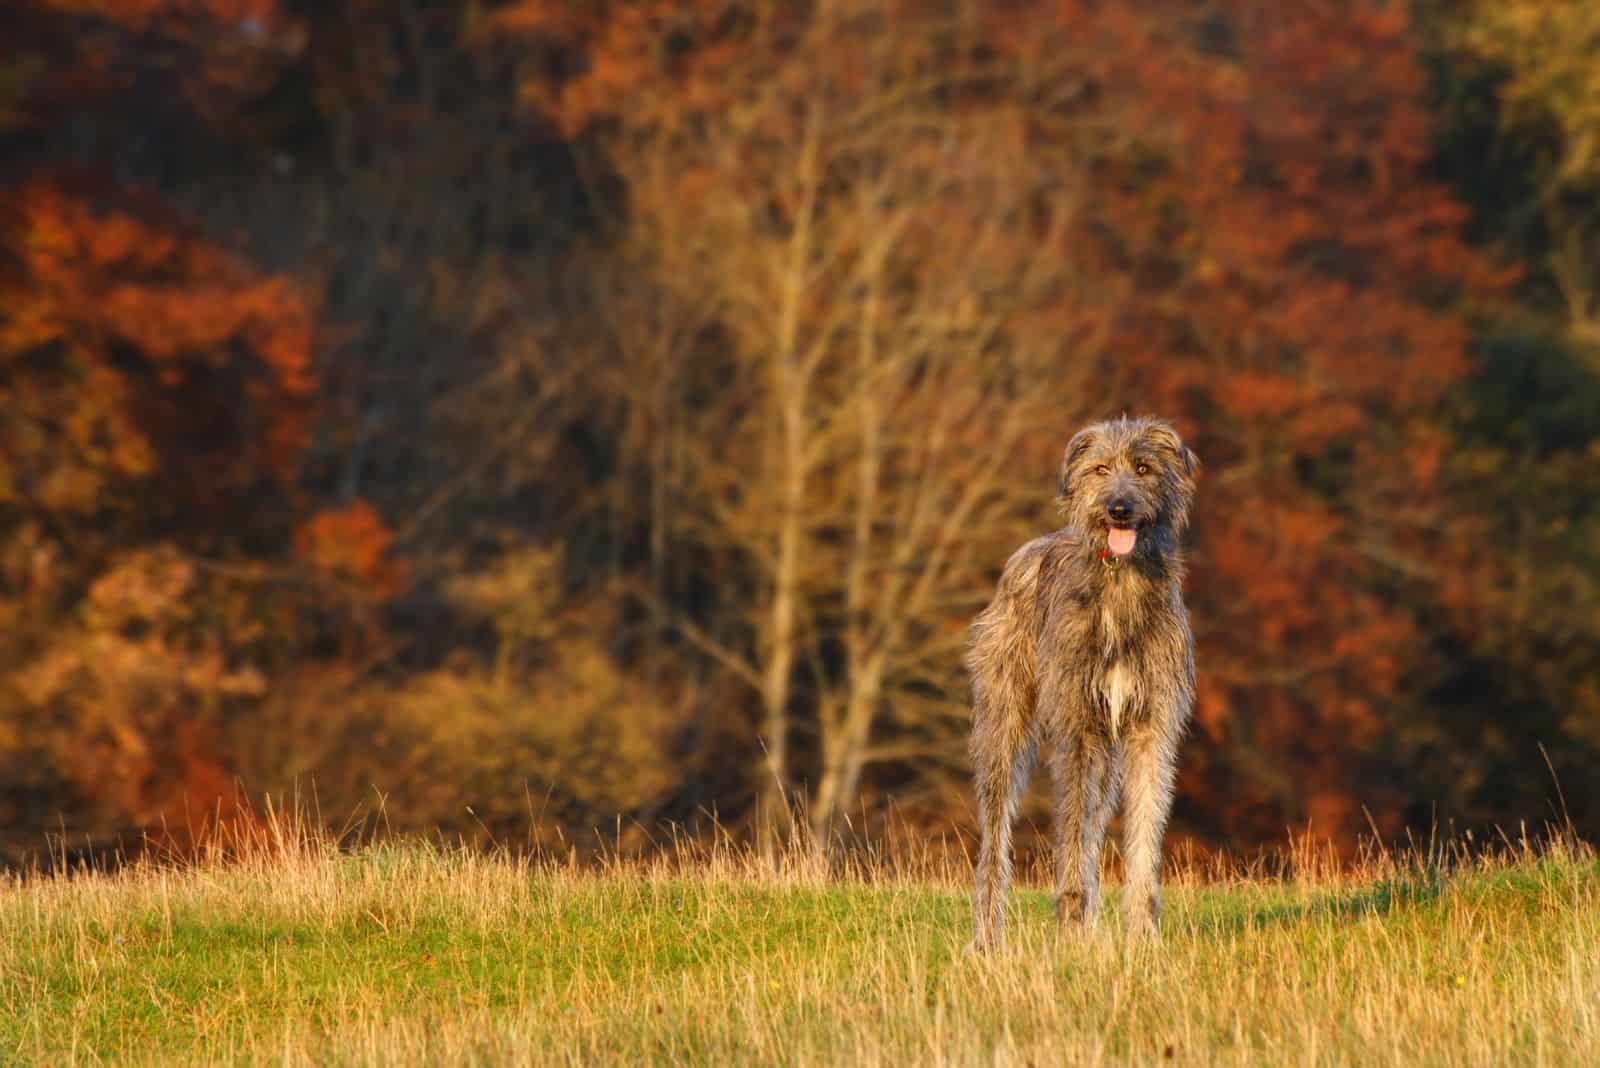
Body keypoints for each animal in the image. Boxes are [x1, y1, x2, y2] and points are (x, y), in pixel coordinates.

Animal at [960, 412, 1203, 946]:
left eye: (1143, 467)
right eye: (1099, 469)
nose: (1118, 509)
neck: (1119, 585)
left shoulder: (1149, 727)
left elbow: (1142, 831)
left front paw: (1142, 935)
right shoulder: (1076, 730)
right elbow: (1070, 834)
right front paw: (1069, 930)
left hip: (1108, 755)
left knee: (1094, 825)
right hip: (1003, 722)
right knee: (996, 833)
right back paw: (987, 936)